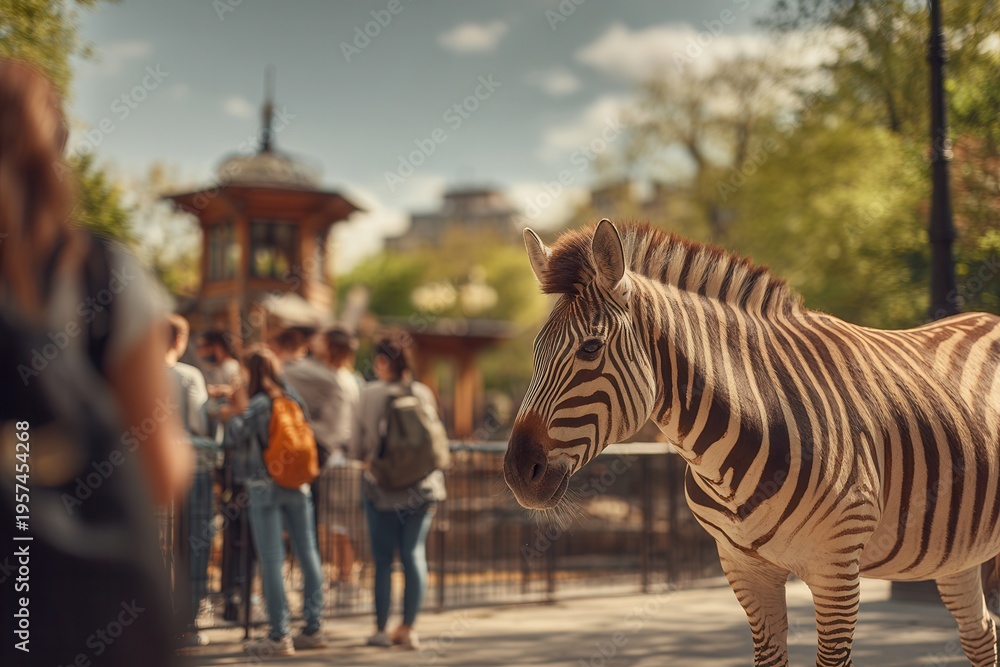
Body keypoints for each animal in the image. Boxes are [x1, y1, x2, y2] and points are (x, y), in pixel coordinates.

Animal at [503, 218, 1000, 666]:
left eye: (590, 348)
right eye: (535, 351)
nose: (517, 473)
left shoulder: (837, 569)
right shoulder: (744, 569)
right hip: (958, 553)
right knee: (981, 634)